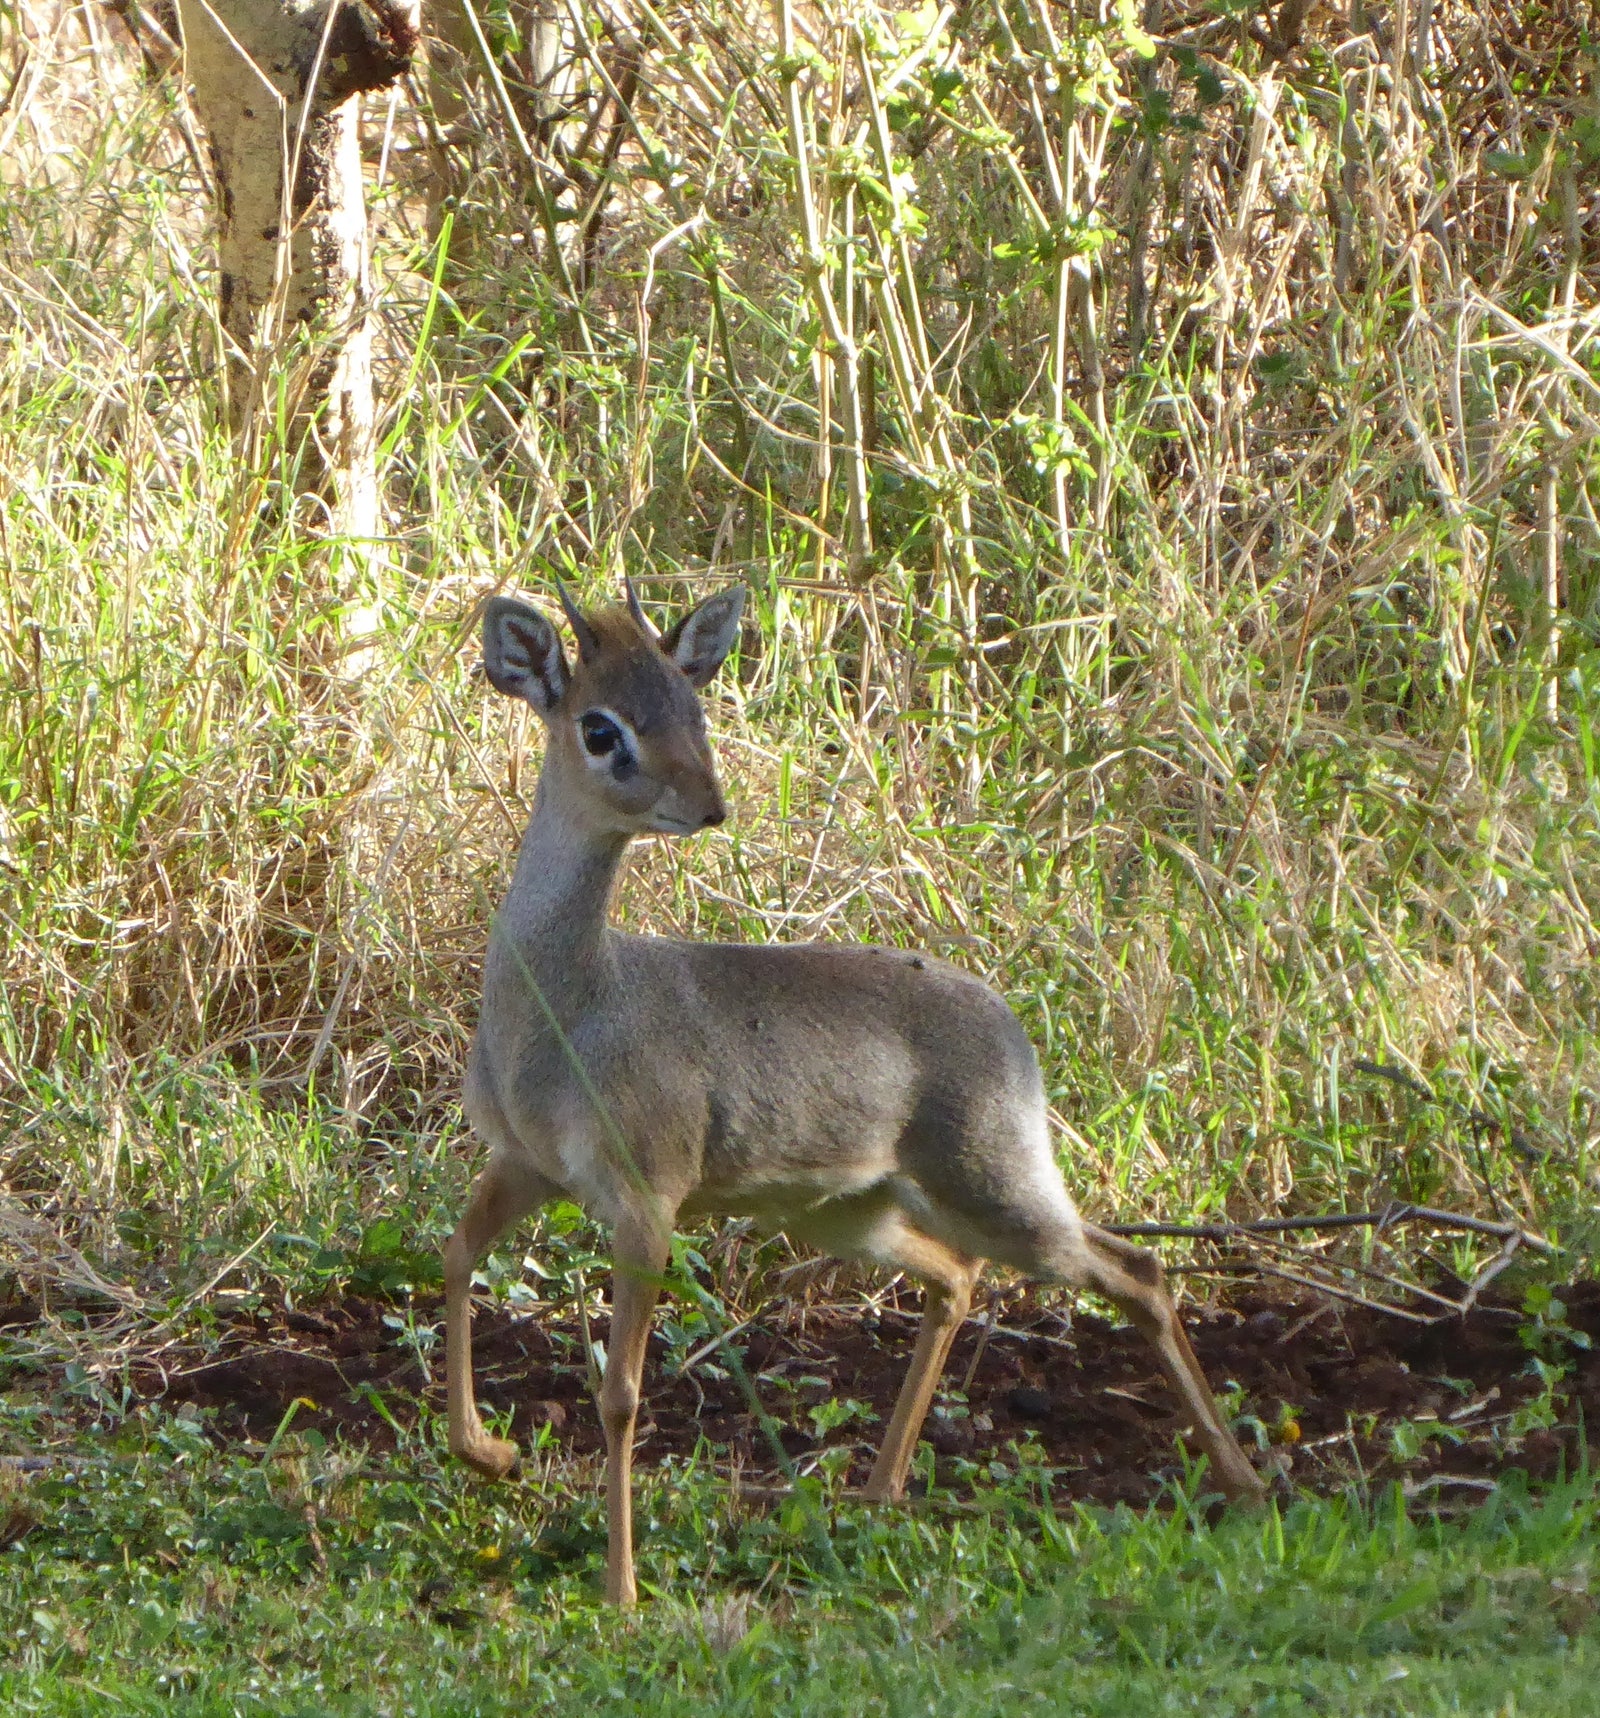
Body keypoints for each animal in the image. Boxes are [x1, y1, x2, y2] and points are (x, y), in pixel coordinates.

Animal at [445, 580, 1266, 1606]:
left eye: (692, 708)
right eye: (601, 728)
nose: (708, 807)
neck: (565, 1005)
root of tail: (1010, 1024)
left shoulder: (646, 1201)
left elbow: (623, 1393)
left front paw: (620, 1591)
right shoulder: (528, 1166)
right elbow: (456, 1254)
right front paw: (489, 1454)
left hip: (995, 1192)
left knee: (1139, 1270)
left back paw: (1245, 1482)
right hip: (851, 1210)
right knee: (958, 1278)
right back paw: (879, 1490)